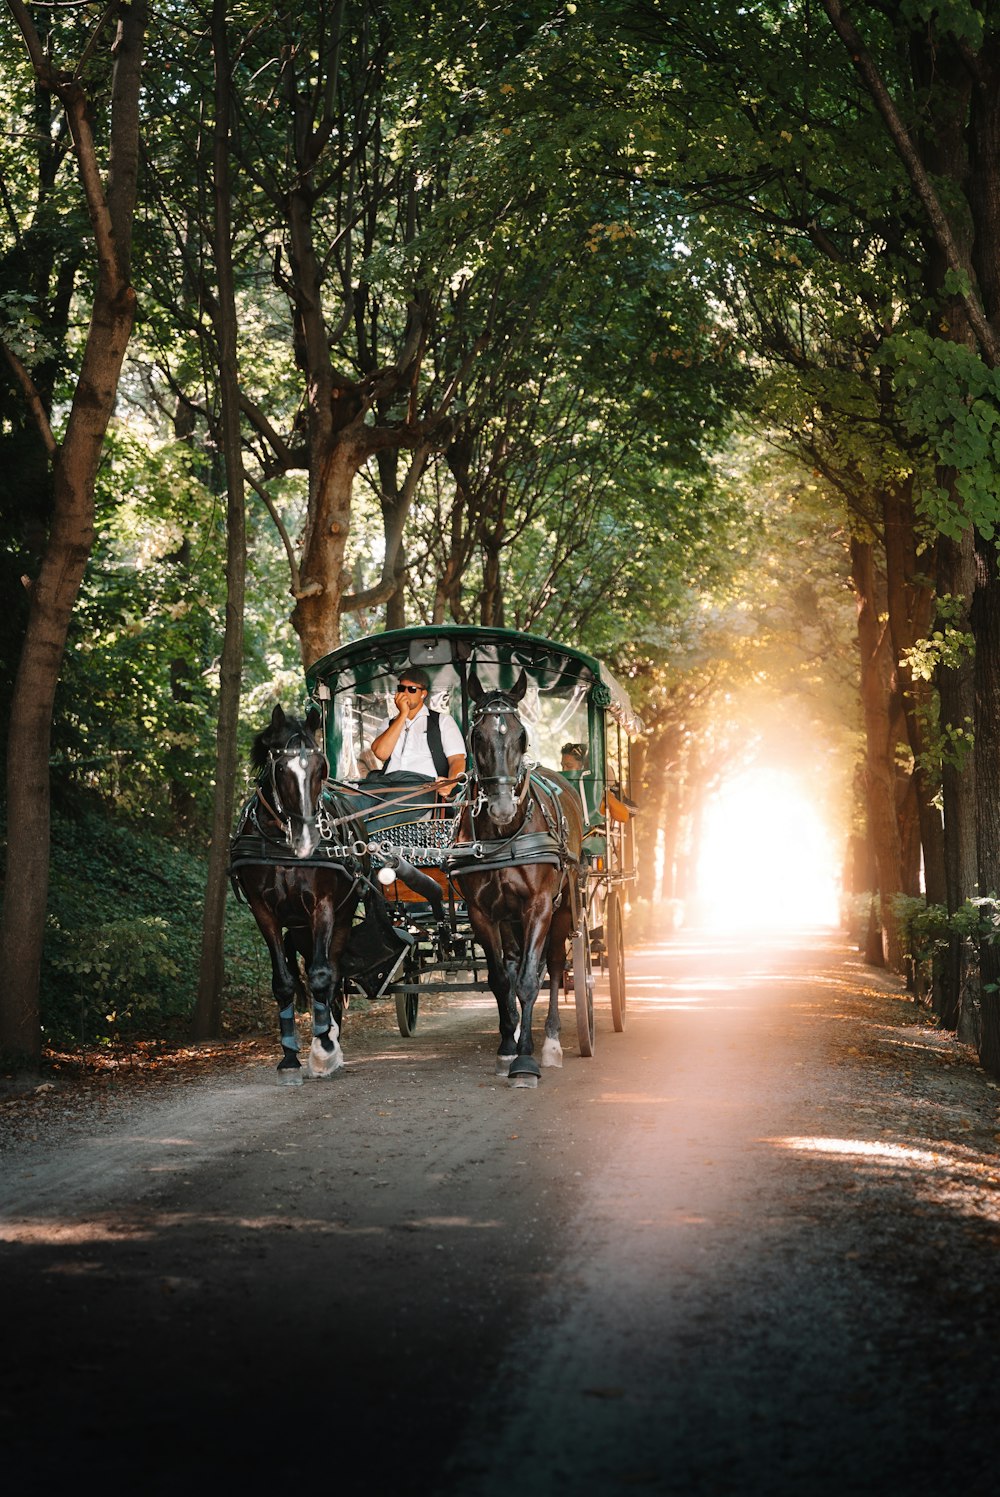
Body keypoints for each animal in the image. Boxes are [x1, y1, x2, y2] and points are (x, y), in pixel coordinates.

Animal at [229, 706, 366, 1083]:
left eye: (321, 768)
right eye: (281, 769)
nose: (308, 840)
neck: (282, 846)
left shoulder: (324, 907)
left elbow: (321, 975)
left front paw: (324, 1050)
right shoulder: (263, 912)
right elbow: (284, 981)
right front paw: (289, 1057)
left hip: (341, 918)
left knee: (333, 973)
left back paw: (330, 1040)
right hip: (302, 930)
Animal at [452, 670, 586, 1089]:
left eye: (521, 735)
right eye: (476, 736)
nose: (501, 808)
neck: (504, 835)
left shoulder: (540, 906)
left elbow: (530, 979)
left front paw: (526, 1059)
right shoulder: (482, 913)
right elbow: (501, 979)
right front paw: (507, 1047)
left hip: (563, 908)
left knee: (554, 966)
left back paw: (553, 1042)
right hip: (510, 919)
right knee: (513, 965)